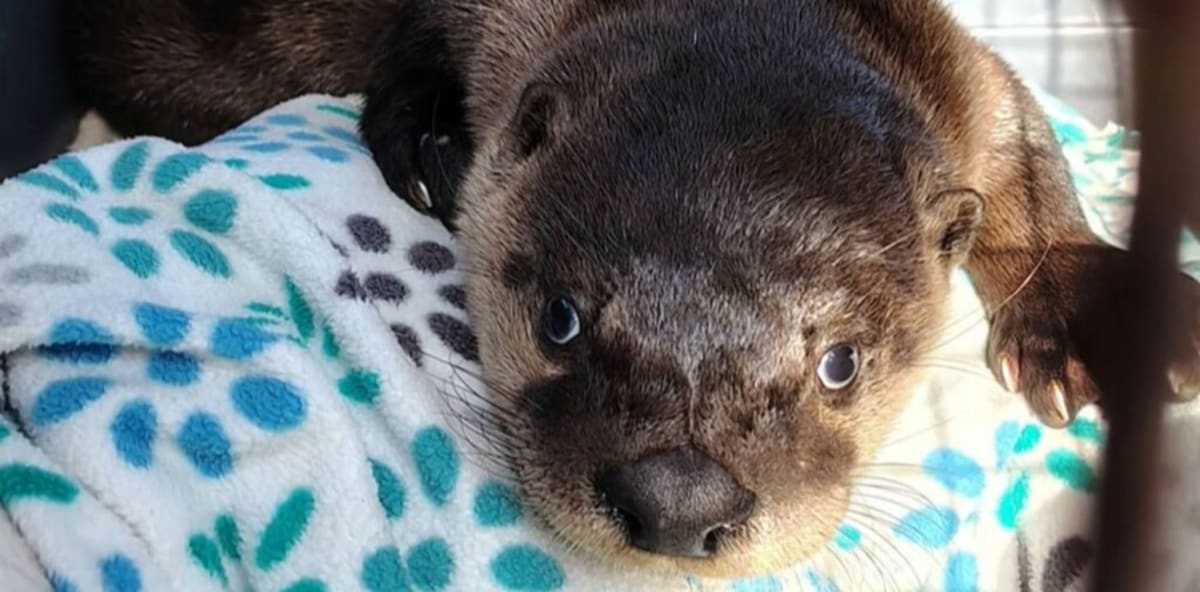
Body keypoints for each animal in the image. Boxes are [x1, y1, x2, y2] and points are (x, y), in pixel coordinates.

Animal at [66, 0, 1200, 579]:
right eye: (559, 319)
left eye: (840, 363)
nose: (677, 501)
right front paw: (431, 139)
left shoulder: (957, 69)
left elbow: (1026, 149)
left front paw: (1105, 321)